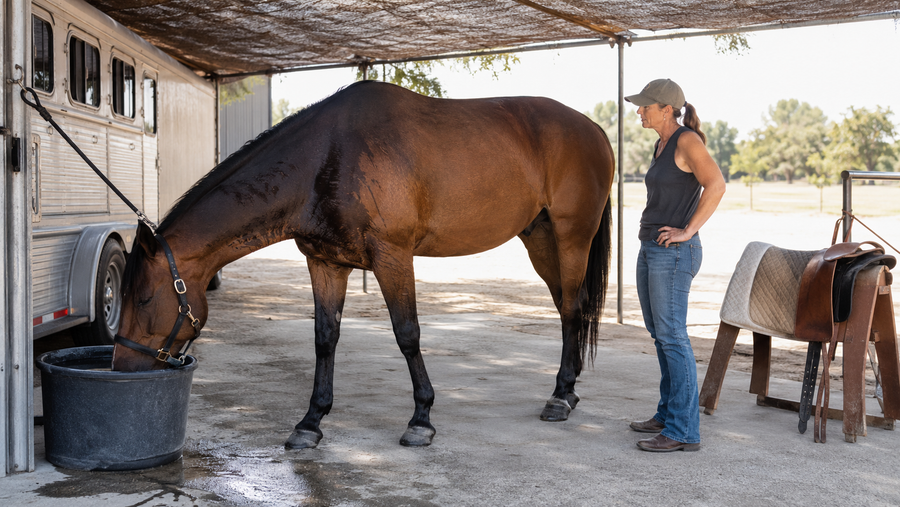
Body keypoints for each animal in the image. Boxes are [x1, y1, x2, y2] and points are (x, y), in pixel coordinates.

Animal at [113, 80, 615, 448]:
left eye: (144, 298)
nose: (121, 368)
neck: (326, 158)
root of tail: (594, 130)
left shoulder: (393, 257)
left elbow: (407, 334)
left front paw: (421, 418)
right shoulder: (325, 263)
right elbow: (325, 338)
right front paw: (311, 422)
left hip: (572, 238)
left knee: (573, 309)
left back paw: (559, 398)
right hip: (541, 242)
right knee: (568, 309)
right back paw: (568, 390)